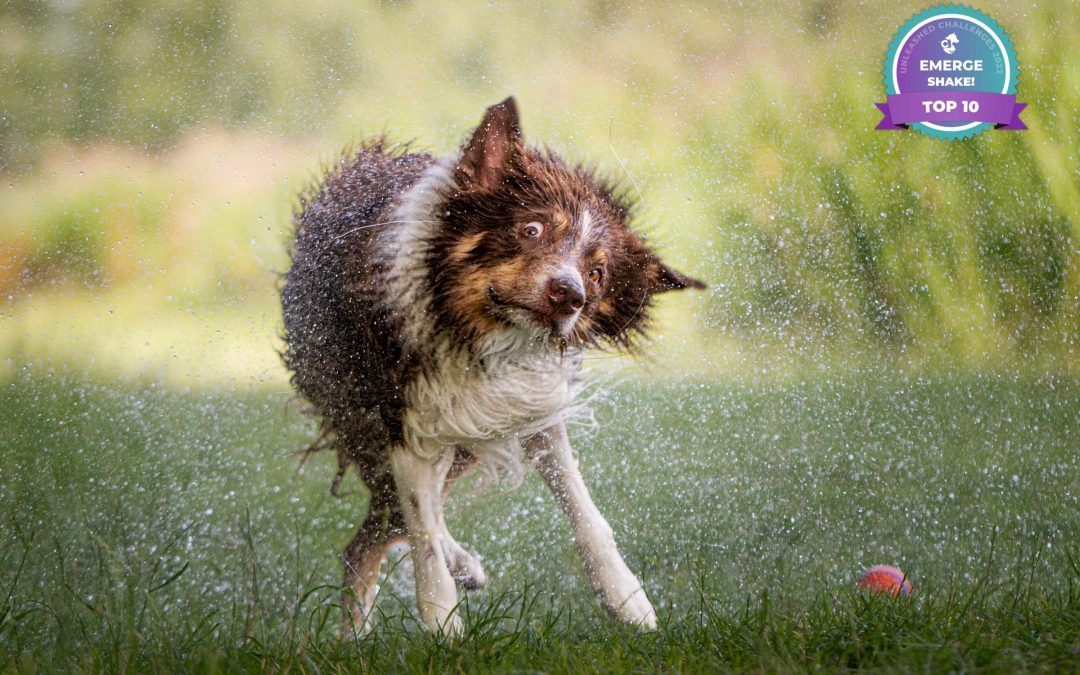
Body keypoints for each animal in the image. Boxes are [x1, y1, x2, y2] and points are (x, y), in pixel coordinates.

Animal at [282, 97, 704, 635]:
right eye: (532, 229)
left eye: (597, 273)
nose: (569, 294)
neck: (479, 334)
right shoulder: (407, 420)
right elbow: (422, 537)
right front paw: (443, 628)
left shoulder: (528, 407)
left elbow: (586, 514)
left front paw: (628, 600)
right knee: (370, 541)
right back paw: (361, 631)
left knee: (383, 530)